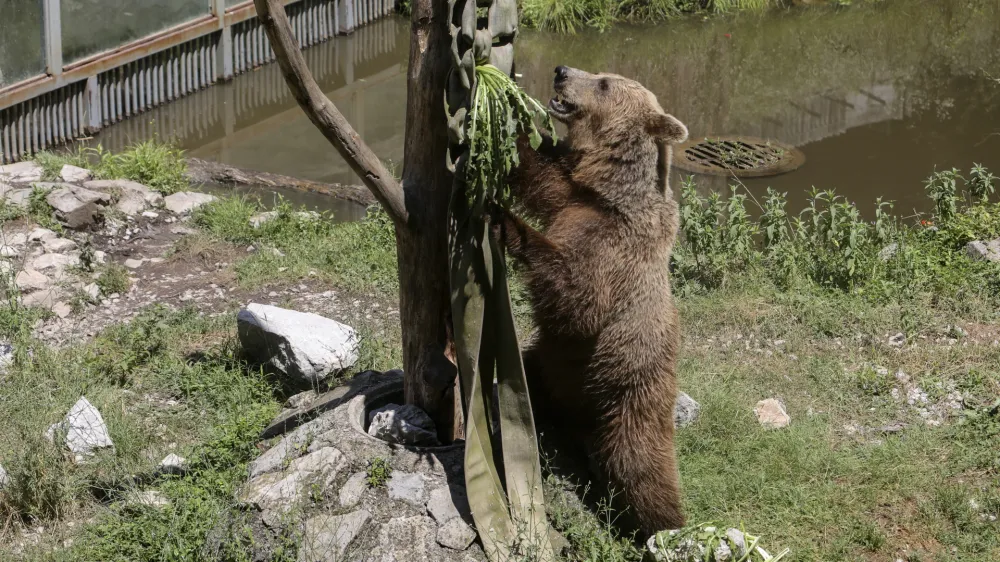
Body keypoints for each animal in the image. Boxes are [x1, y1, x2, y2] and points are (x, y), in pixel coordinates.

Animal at [500, 63, 688, 532]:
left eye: (603, 83)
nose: (562, 71)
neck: (610, 192)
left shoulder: (615, 250)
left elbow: (578, 302)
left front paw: (508, 223)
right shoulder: (571, 196)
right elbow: (537, 172)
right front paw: (503, 96)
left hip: (628, 391)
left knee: (639, 465)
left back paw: (661, 523)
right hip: (548, 366)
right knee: (526, 378)